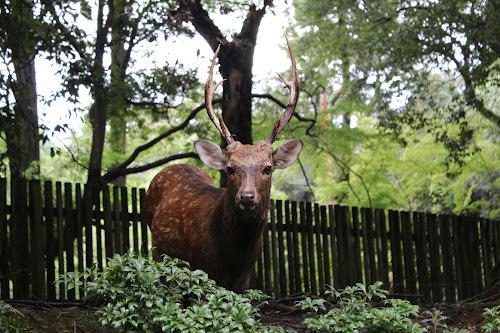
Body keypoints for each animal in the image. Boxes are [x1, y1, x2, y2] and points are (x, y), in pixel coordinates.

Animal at [143, 38, 302, 290]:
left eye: (268, 168)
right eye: (230, 168)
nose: (247, 196)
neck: (233, 256)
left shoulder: (245, 278)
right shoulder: (202, 270)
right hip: (158, 249)